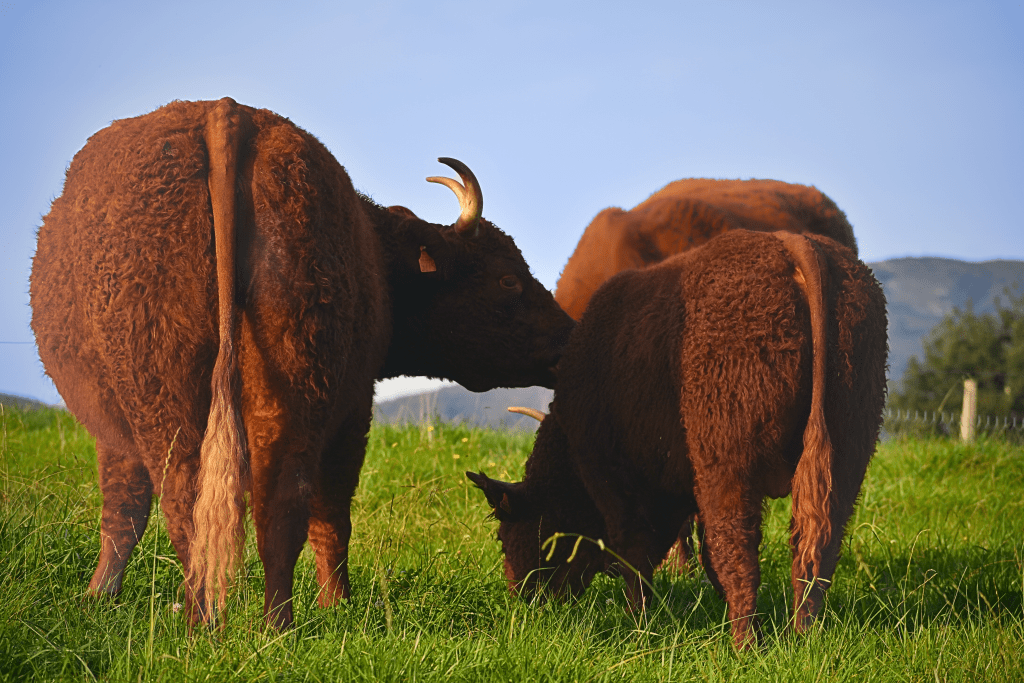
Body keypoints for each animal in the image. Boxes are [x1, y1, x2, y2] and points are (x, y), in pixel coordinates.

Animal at [30, 98, 575, 629]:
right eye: (508, 278)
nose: (569, 336)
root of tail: (225, 113)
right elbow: (127, 508)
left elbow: (126, 506)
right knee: (261, 503)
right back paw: (263, 621)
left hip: (200, 401)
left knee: (217, 502)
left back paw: (233, 620)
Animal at [469, 230, 888, 648]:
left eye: (507, 534)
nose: (522, 601)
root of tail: (790, 243)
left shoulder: (612, 481)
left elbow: (636, 557)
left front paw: (638, 626)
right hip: (847, 450)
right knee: (816, 551)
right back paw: (801, 637)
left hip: (727, 463)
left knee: (739, 550)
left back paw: (744, 644)